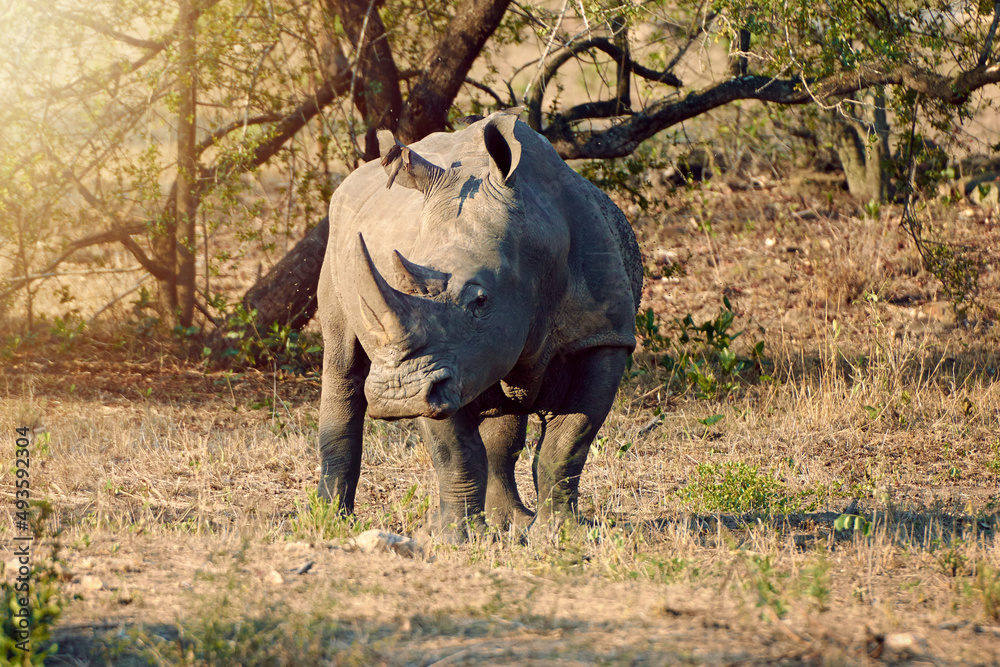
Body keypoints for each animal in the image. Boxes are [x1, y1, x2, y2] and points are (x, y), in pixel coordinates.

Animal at [316, 111, 640, 536]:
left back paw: (511, 522)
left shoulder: (605, 336)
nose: (396, 395)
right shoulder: (436, 370)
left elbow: (567, 445)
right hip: (334, 240)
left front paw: (560, 533)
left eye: (481, 301)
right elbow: (455, 452)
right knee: (342, 363)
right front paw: (453, 537)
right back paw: (331, 521)